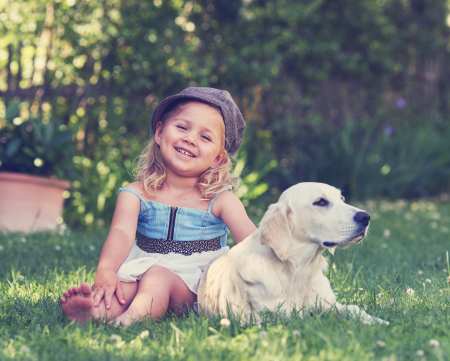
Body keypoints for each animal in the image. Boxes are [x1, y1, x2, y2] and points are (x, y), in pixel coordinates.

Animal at [199, 181, 388, 324]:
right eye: (321, 202)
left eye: (342, 199)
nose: (366, 217)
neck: (299, 271)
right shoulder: (276, 315)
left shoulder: (329, 303)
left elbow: (354, 309)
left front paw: (379, 321)